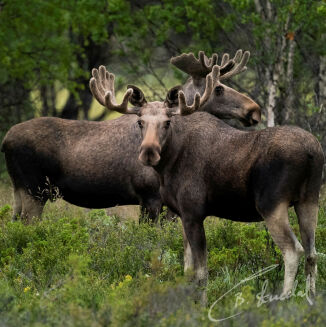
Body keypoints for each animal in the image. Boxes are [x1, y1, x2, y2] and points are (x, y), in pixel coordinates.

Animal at [0, 49, 260, 223]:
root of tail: (5, 141)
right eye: (218, 88)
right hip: (34, 190)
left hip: (19, 191)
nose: (254, 110)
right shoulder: (150, 197)